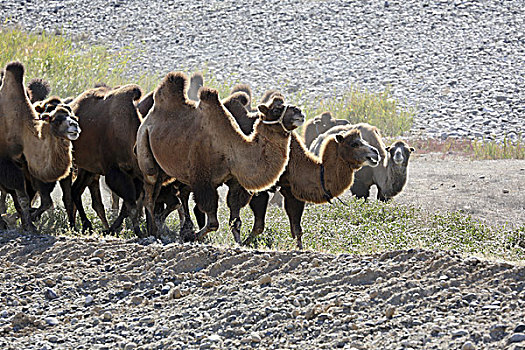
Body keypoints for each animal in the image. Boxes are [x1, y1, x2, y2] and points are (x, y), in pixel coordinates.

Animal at [0, 62, 80, 232]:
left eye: (73, 117)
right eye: (56, 119)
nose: (75, 126)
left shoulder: (30, 169)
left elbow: (43, 201)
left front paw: (27, 221)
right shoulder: (7, 164)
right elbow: (23, 198)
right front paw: (29, 225)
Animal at [137, 72, 304, 241]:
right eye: (277, 109)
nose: (300, 112)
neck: (230, 149)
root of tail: (148, 119)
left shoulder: (235, 182)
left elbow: (235, 220)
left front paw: (238, 243)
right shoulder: (203, 179)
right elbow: (213, 223)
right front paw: (192, 236)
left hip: (167, 169)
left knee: (166, 192)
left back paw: (161, 225)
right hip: (145, 146)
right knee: (150, 193)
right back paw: (153, 232)